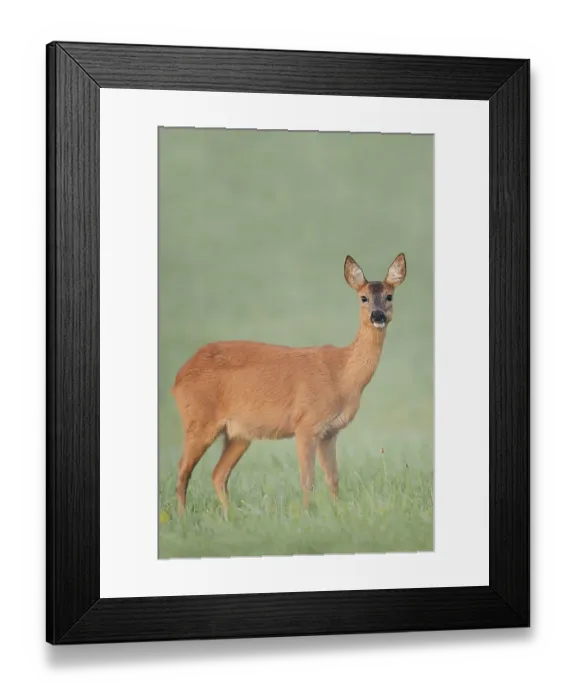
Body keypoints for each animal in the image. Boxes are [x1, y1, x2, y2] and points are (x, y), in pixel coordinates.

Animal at [171, 252, 407, 518]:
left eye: (389, 296)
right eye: (363, 297)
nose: (377, 316)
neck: (342, 376)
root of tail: (179, 376)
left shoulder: (330, 432)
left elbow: (333, 478)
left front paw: (338, 513)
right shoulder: (305, 424)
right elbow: (307, 479)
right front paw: (306, 515)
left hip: (238, 434)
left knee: (218, 474)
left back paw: (229, 516)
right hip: (199, 420)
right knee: (183, 470)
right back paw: (182, 517)